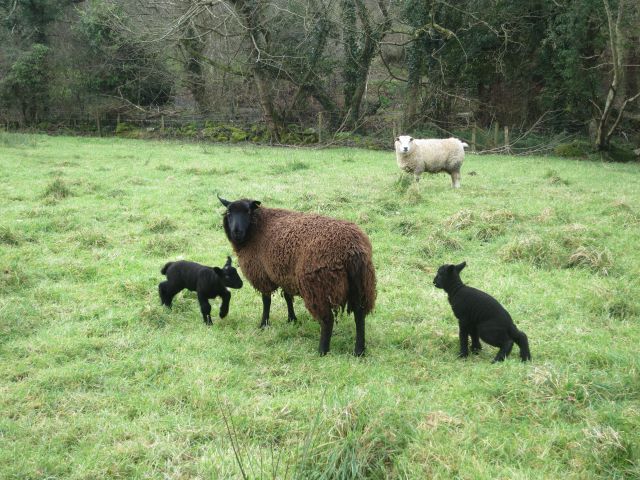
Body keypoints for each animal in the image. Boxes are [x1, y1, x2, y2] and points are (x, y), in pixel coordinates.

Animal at [217, 195, 376, 356]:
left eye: (248, 212)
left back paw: (322, 350)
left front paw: (264, 324)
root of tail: (352, 250)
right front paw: (292, 319)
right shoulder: (285, 274)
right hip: (361, 284)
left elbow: (266, 301)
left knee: (327, 319)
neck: (257, 227)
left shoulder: (262, 274)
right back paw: (359, 351)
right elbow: (288, 297)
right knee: (359, 314)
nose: (236, 232)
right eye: (229, 213)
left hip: (320, 286)